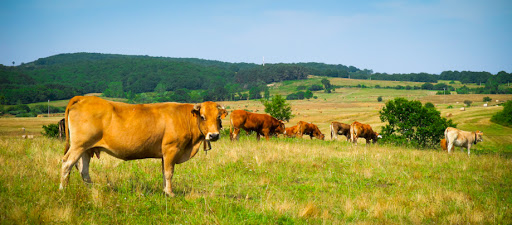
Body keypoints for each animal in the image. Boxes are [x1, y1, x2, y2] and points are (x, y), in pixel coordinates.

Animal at [58, 96, 226, 196]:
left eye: (218, 117)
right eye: (203, 117)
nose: (214, 135)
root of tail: (85, 98)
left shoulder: (164, 153)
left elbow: (164, 172)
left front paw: (165, 191)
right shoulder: (171, 149)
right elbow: (169, 172)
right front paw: (171, 193)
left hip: (86, 149)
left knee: (84, 170)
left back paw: (92, 190)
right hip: (79, 145)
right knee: (67, 163)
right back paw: (62, 190)